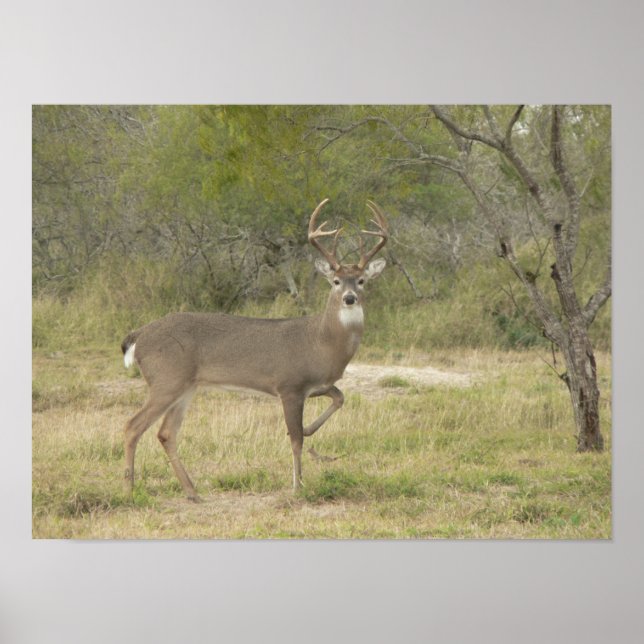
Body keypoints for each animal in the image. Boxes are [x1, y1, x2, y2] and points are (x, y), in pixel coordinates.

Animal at [120, 198, 388, 500]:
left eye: (362, 280)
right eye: (336, 281)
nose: (350, 298)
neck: (321, 343)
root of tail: (139, 335)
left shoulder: (316, 385)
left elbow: (339, 398)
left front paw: (309, 431)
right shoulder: (289, 385)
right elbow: (295, 438)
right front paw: (298, 485)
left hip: (186, 386)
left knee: (166, 433)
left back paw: (192, 492)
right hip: (166, 380)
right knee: (132, 426)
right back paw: (129, 489)